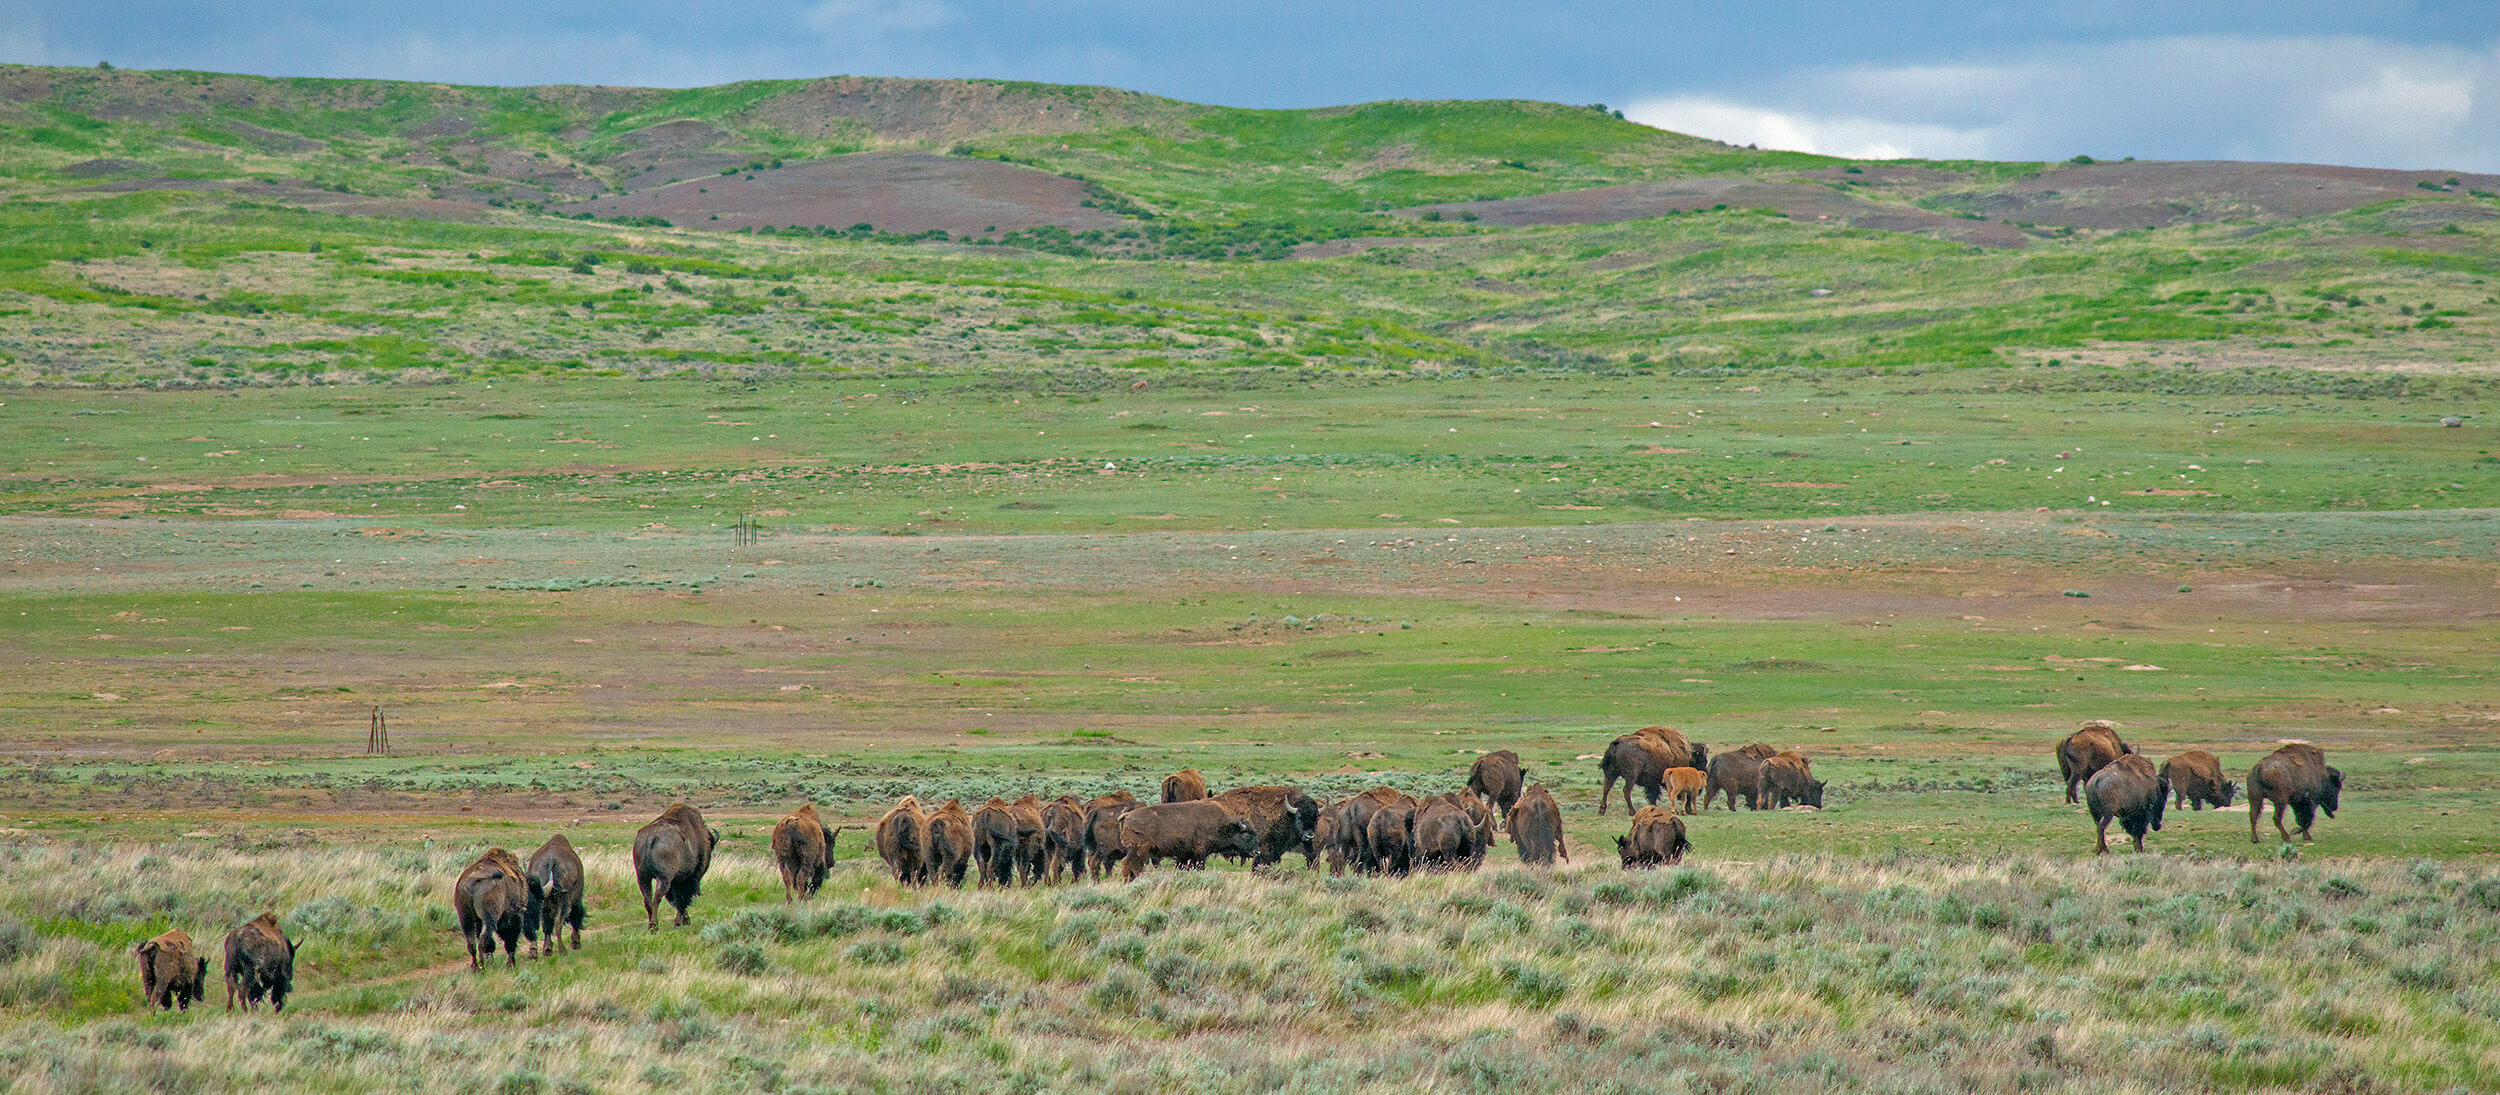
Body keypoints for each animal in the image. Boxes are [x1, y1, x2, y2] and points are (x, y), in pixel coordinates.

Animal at [630, 800, 720, 930]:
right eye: (710, 847)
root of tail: (650, 838)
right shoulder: (688, 878)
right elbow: (682, 899)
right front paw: (681, 921)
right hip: (664, 878)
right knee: (657, 897)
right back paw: (655, 926)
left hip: (643, 877)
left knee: (648, 899)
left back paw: (651, 925)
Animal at [1125, 795, 1260, 880]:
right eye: (1247, 834)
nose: (1257, 852)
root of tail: (1127, 815)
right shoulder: (1200, 855)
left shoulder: (1184, 856)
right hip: (1139, 852)